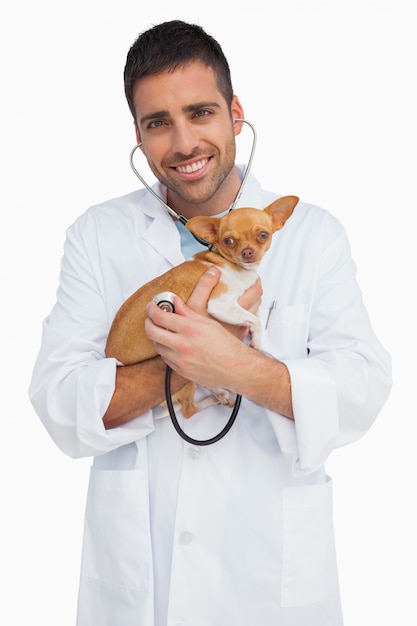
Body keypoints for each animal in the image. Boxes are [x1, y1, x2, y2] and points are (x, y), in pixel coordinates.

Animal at [105, 196, 298, 414]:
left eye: (263, 235)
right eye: (228, 241)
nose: (247, 252)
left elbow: (254, 317)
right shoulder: (220, 304)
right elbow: (255, 320)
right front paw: (256, 341)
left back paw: (220, 394)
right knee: (190, 409)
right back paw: (215, 398)